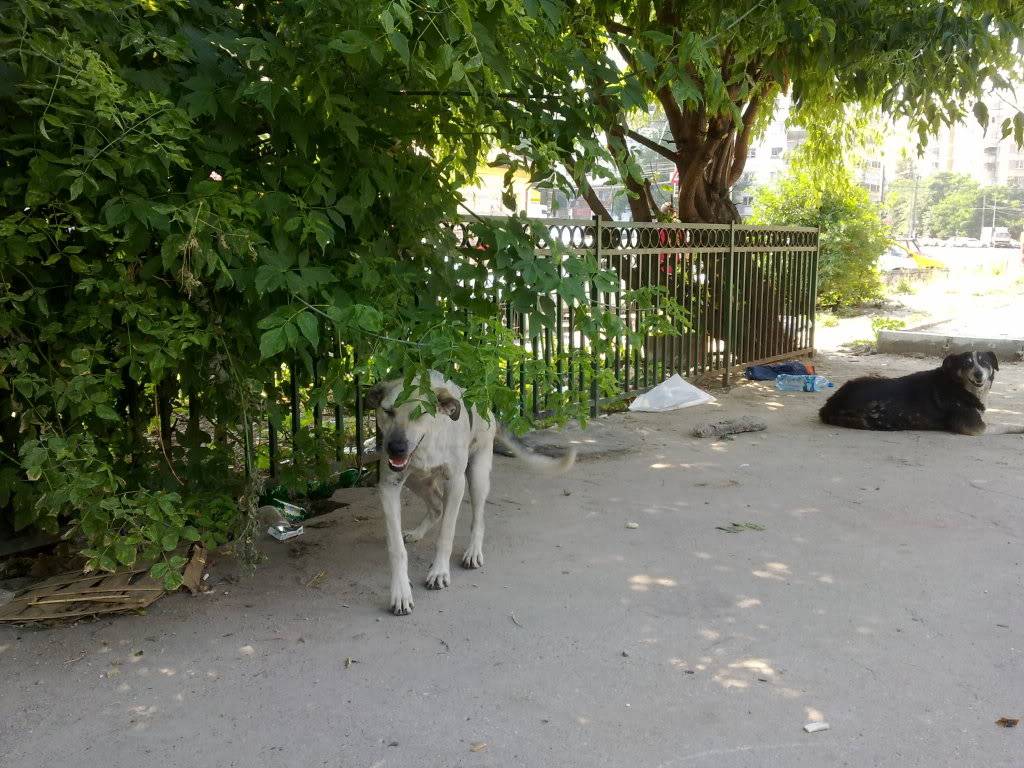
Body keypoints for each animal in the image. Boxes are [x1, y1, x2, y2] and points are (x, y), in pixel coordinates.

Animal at [368, 370, 577, 618]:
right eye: (388, 411)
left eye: (419, 413)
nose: (396, 448)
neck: (428, 444)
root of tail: (488, 410)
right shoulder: (389, 486)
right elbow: (396, 548)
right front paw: (400, 592)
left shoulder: (456, 483)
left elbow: (446, 535)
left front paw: (439, 572)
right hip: (417, 480)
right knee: (436, 505)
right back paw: (417, 532)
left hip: (477, 475)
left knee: (478, 518)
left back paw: (473, 551)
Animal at [815, 352, 999, 436]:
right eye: (967, 364)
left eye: (984, 363)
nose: (978, 374)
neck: (956, 383)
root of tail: (830, 404)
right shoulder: (975, 428)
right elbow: (1001, 426)